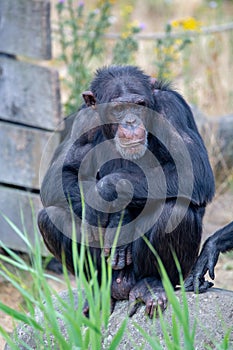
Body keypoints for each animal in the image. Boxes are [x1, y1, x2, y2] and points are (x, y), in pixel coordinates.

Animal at [38, 65, 215, 318]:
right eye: (119, 109)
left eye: (139, 105)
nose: (131, 121)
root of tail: (123, 287)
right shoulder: (81, 121)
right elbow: (60, 174)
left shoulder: (172, 109)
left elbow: (191, 169)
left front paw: (110, 199)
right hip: (107, 274)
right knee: (51, 216)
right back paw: (99, 291)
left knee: (175, 210)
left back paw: (151, 285)